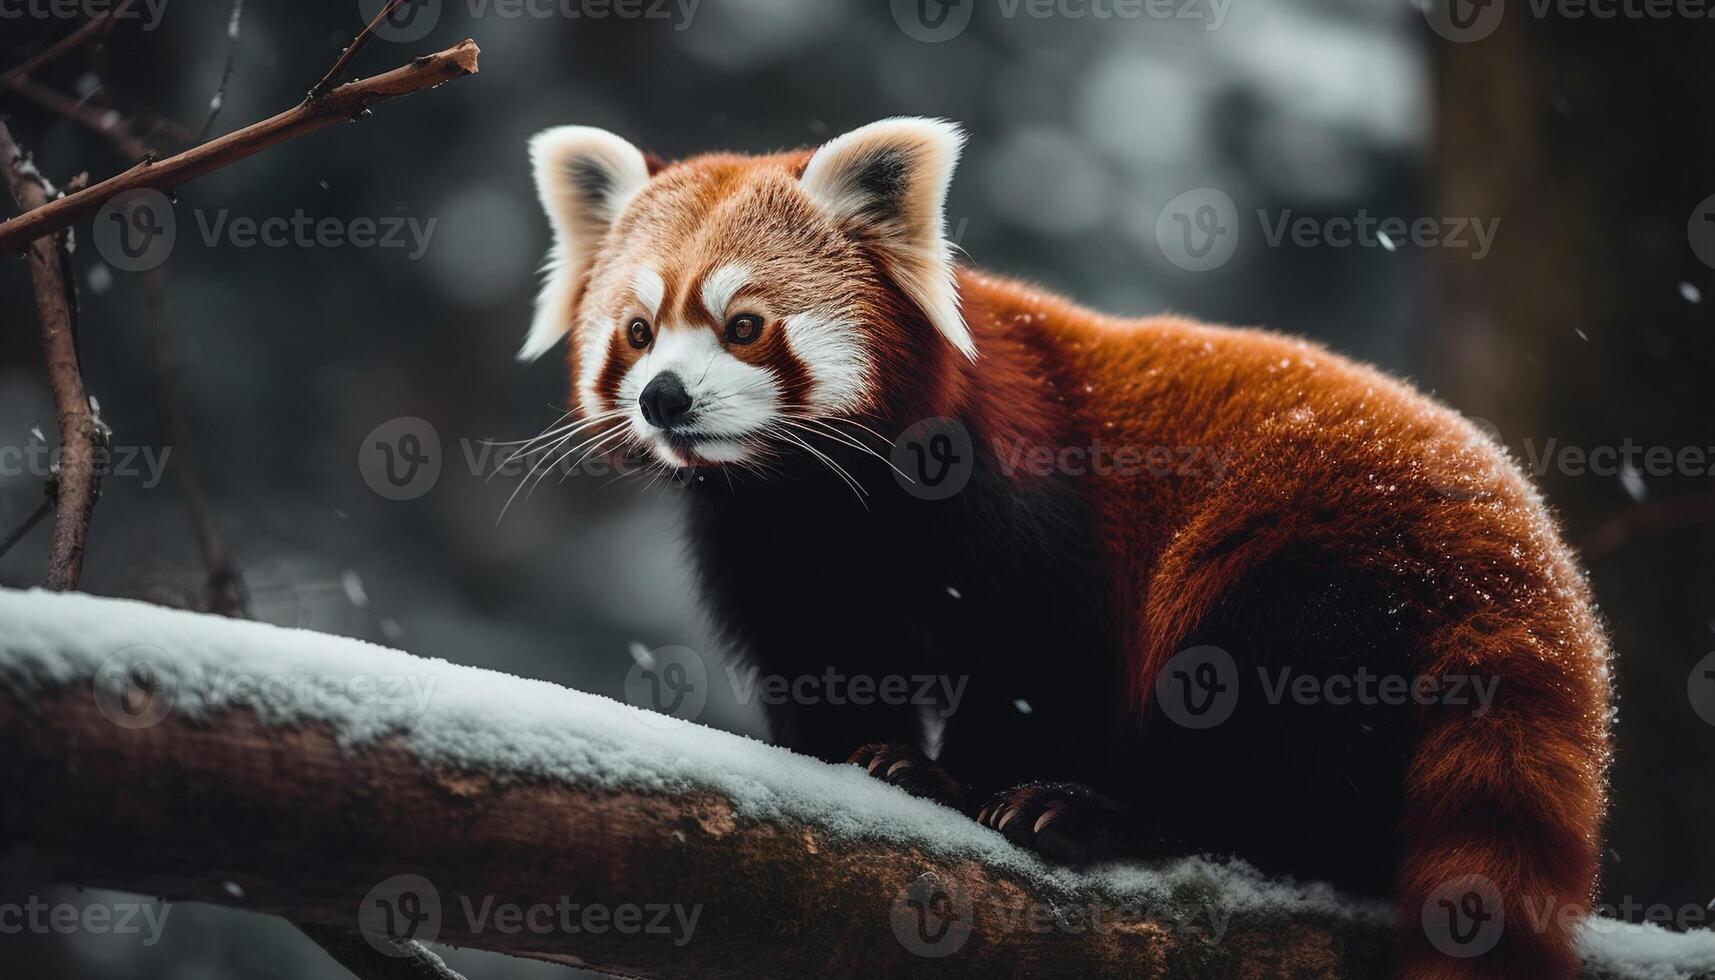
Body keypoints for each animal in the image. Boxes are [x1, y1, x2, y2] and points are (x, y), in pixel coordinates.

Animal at [517, 116, 1605, 980]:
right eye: (636, 331)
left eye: (743, 325)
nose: (664, 397)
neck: (811, 491)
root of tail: (1526, 564)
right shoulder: (769, 545)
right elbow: (823, 655)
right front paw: (855, 753)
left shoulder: (1018, 491)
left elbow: (1041, 653)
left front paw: (945, 778)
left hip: (1322, 563)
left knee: (1260, 714)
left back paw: (1104, 816)